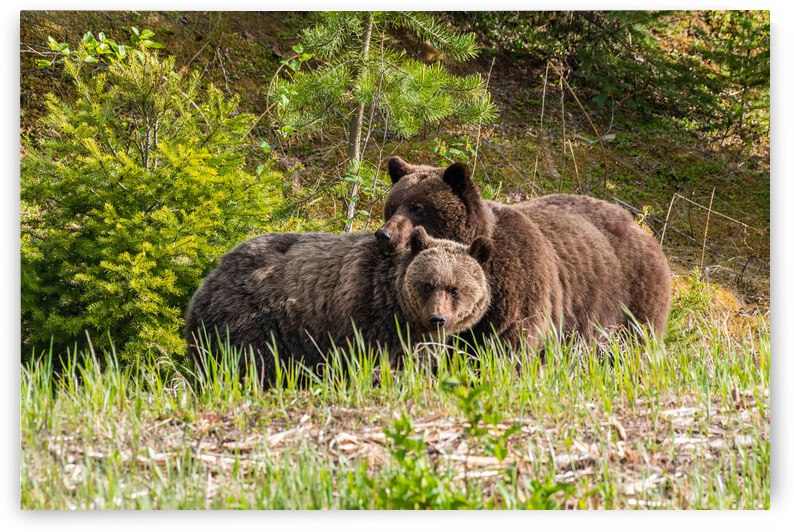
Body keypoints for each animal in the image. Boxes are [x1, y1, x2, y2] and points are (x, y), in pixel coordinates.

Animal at [185, 227, 493, 386]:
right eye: (428, 284)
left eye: (455, 289)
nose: (437, 318)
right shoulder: (361, 311)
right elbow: (363, 358)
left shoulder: (415, 338)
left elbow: (416, 362)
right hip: (250, 316)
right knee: (250, 360)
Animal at [376, 156, 672, 348]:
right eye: (392, 206)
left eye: (418, 208)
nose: (384, 235)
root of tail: (640, 228)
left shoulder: (518, 288)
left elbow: (510, 342)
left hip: (627, 300)